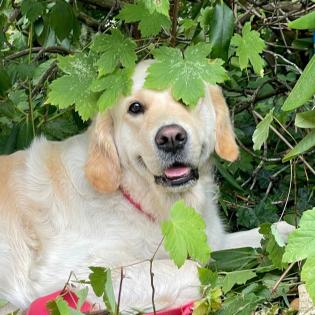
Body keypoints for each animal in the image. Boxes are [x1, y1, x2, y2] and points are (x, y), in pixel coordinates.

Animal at [0, 60, 294, 312]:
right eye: (135, 108)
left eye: (187, 98)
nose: (171, 138)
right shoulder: (78, 273)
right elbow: (195, 269)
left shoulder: (211, 240)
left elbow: (279, 230)